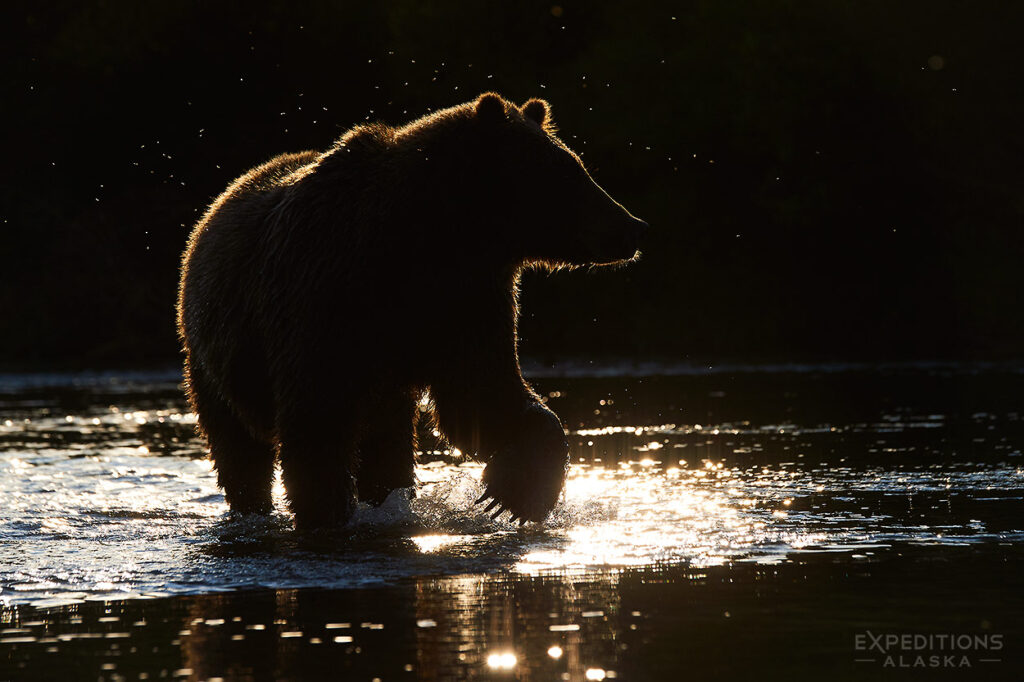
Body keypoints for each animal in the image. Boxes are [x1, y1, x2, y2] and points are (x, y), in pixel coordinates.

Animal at [174, 91, 638, 524]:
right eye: (566, 174)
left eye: (577, 165)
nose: (633, 226)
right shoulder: (322, 297)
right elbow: (317, 419)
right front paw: (326, 512)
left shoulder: (463, 300)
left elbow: (482, 397)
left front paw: (515, 493)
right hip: (211, 356)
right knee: (238, 447)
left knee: (389, 444)